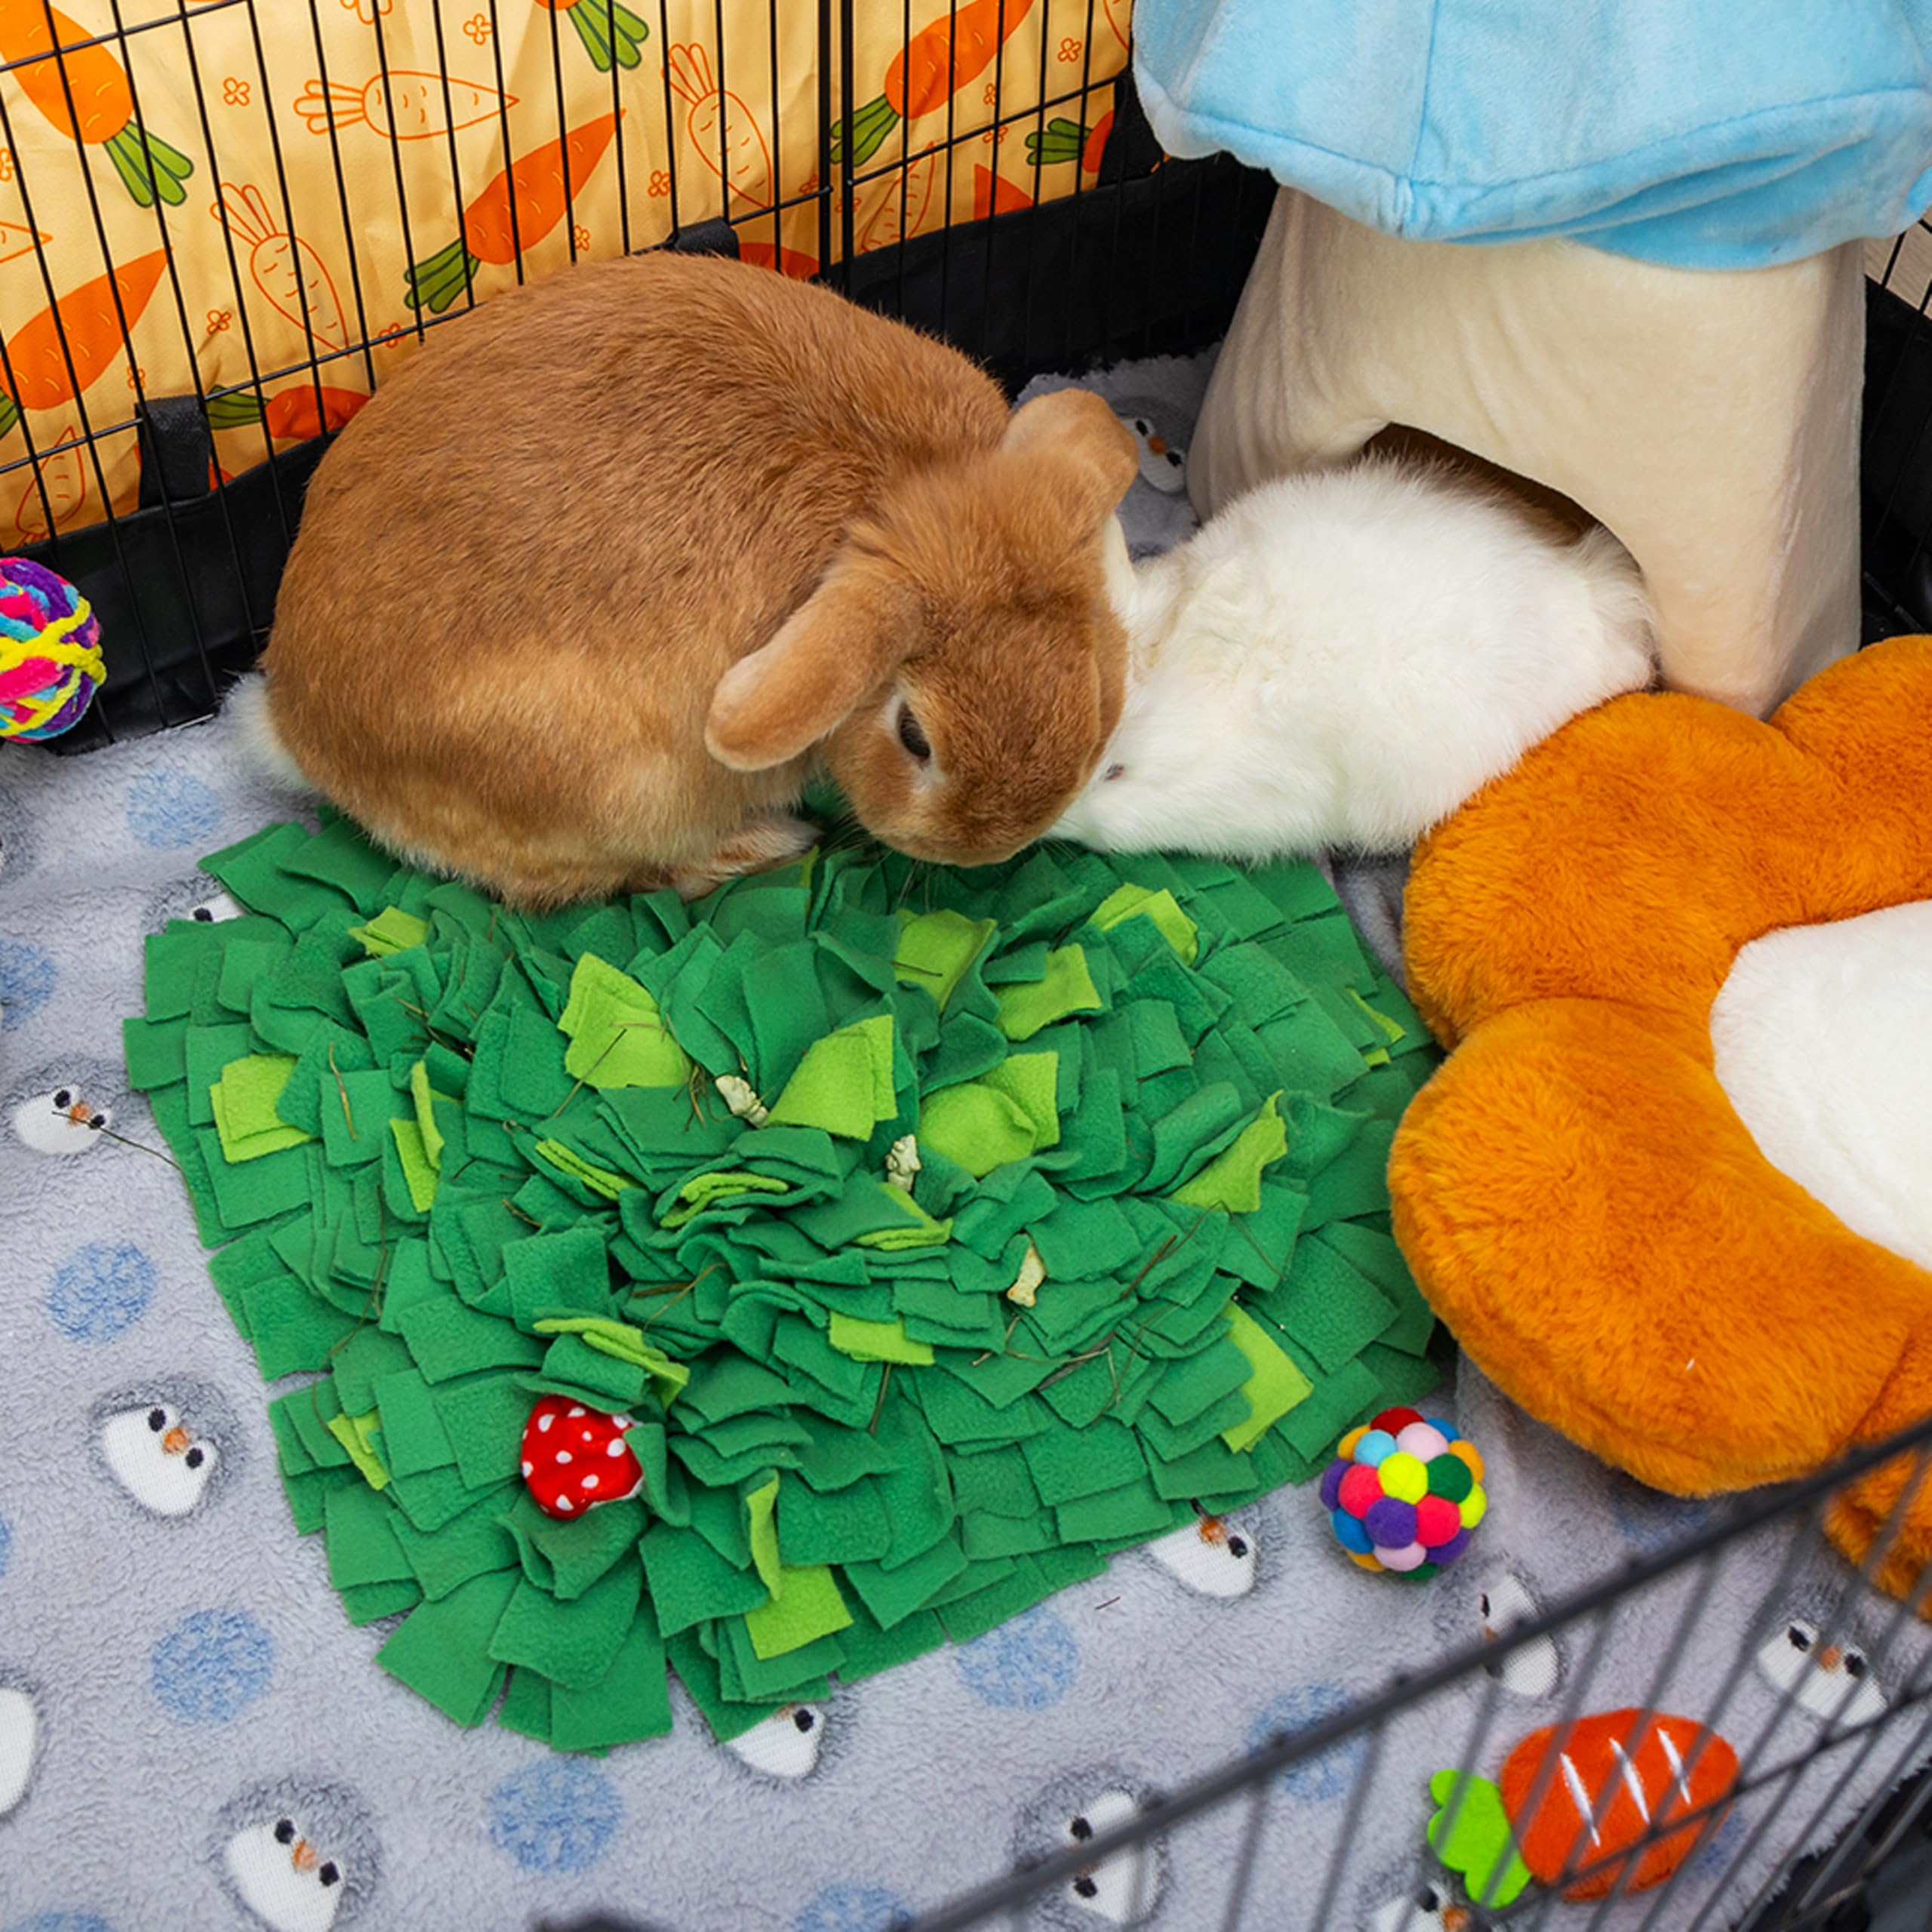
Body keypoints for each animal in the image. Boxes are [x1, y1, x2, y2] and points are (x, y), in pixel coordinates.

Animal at [252, 250, 1139, 909]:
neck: (911, 482)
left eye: (1097, 684)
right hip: (618, 790)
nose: (981, 852)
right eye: (914, 735)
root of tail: (299, 728)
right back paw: (767, 843)